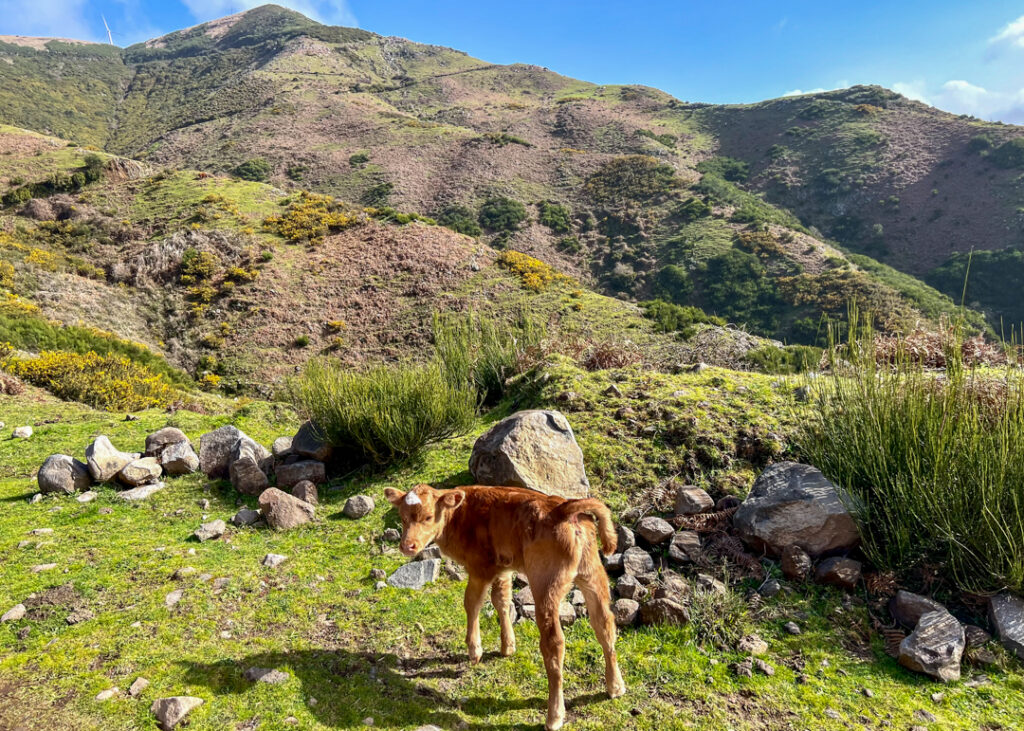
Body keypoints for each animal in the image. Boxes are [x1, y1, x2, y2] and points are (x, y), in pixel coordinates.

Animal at [384, 483, 625, 731]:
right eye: (403, 518)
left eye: (429, 516)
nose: (407, 546)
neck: (460, 515)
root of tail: (561, 509)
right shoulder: (503, 567)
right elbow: (501, 599)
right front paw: (507, 646)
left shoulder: (480, 567)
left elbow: (472, 602)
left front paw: (474, 650)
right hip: (592, 574)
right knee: (605, 624)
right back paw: (615, 687)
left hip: (545, 585)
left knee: (554, 643)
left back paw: (555, 715)